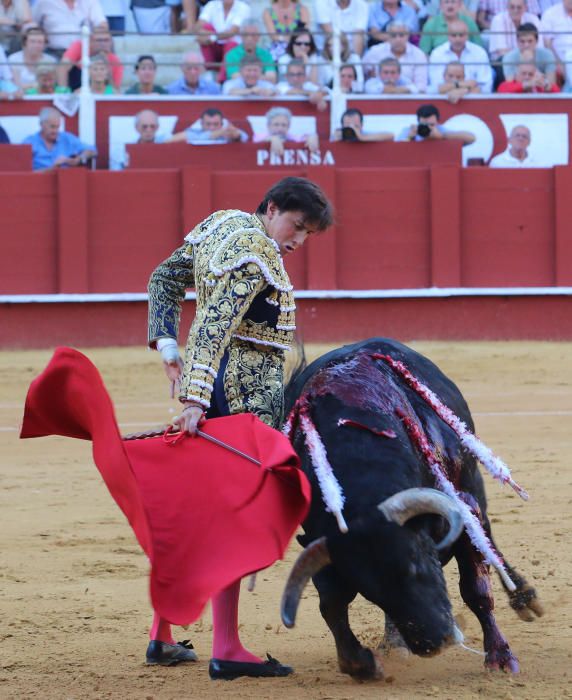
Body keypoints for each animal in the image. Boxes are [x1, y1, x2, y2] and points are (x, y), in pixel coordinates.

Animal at [282, 338, 544, 680]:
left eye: (418, 567)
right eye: (369, 590)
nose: (435, 642)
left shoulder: (461, 508)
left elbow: (475, 589)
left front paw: (500, 658)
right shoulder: (324, 541)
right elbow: (332, 601)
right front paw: (360, 663)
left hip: (472, 485)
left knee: (488, 542)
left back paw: (524, 597)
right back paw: (394, 643)